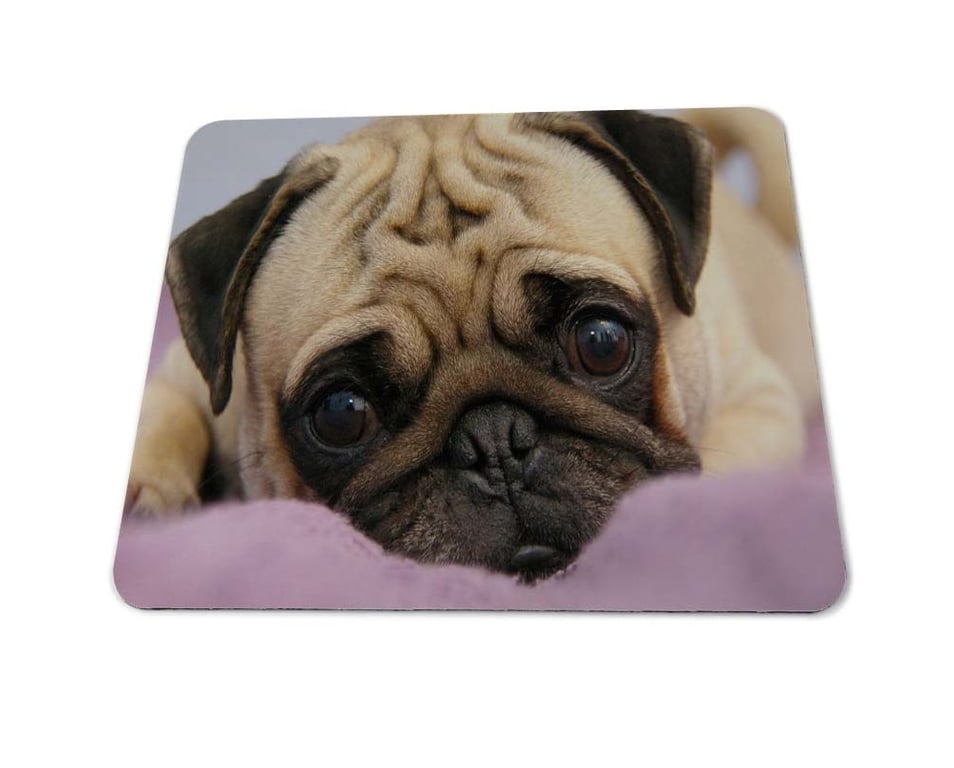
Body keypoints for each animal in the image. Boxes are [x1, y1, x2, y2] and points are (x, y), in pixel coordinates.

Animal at [127, 109, 819, 579]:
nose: (493, 440)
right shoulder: (184, 375)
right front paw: (143, 493)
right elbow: (164, 411)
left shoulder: (761, 402)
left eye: (601, 343)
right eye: (343, 412)